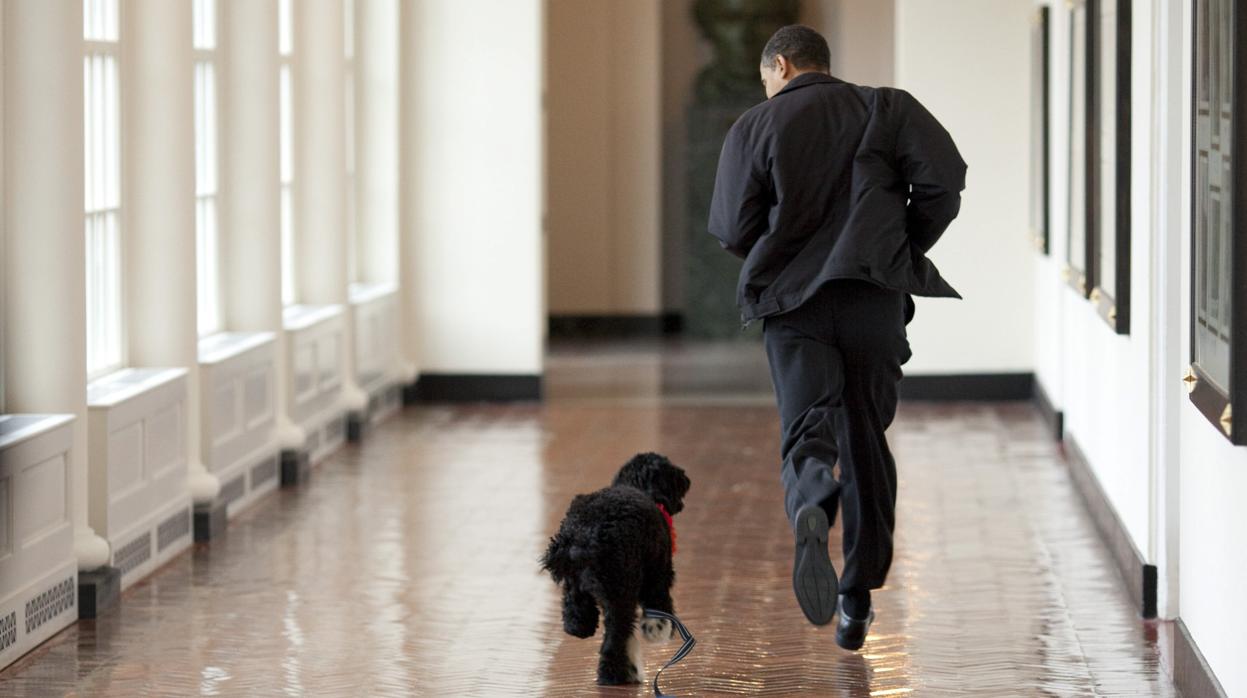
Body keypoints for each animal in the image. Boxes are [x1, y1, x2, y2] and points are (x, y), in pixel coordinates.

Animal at [538, 453, 693, 688]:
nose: (687, 479)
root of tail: (583, 535)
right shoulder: (658, 575)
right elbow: (659, 609)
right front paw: (657, 630)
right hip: (621, 592)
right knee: (614, 638)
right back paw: (613, 675)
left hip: (580, 586)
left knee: (576, 615)